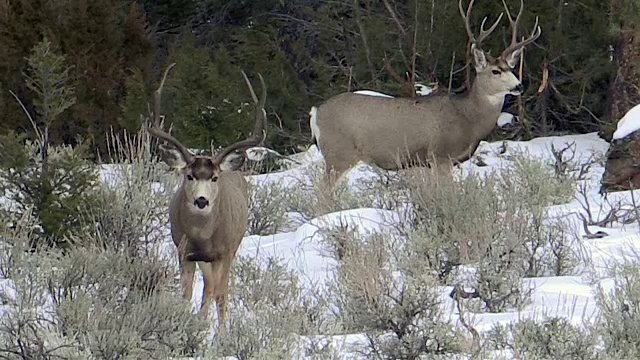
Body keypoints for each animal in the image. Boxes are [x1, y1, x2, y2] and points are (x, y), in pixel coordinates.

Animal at [144, 63, 266, 330]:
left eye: (214, 178)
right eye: (189, 175)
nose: (201, 200)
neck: (202, 236)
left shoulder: (224, 252)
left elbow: (221, 294)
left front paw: (221, 335)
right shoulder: (184, 251)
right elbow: (186, 293)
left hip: (232, 247)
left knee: (219, 289)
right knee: (208, 287)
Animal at [310, 0, 540, 188]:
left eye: (511, 68)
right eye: (495, 71)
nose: (519, 86)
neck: (466, 117)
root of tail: (316, 112)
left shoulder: (426, 163)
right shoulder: (440, 155)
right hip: (339, 152)